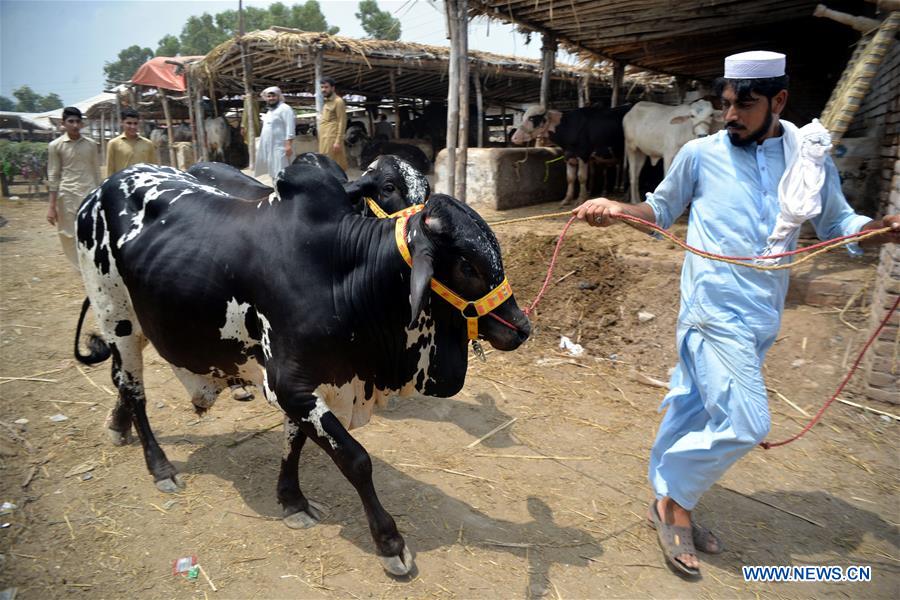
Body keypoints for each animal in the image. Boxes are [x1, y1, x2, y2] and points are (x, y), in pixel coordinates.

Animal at [75, 162, 536, 576]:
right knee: (132, 387)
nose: (523, 327)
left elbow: (293, 442)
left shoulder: (308, 385)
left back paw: (117, 426)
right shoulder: (288, 385)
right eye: (468, 266)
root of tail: (100, 189)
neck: (341, 274)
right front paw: (390, 543)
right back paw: (160, 466)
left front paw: (291, 500)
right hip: (117, 316)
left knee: (122, 383)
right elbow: (355, 460)